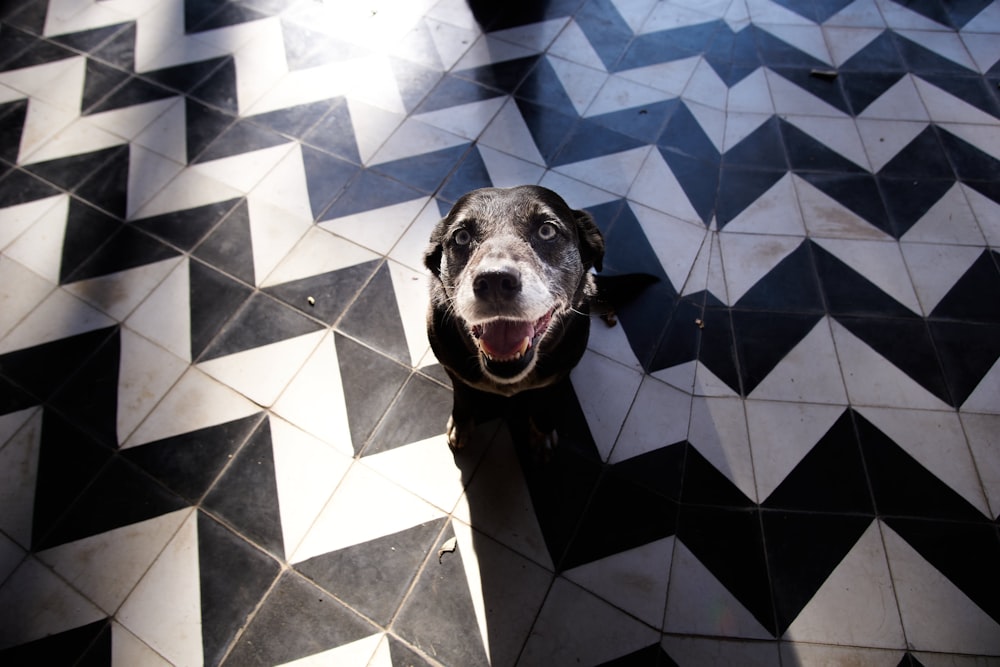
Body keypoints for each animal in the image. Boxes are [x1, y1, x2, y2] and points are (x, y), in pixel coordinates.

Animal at [422, 185, 616, 452]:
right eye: (461, 236)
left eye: (547, 231)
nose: (494, 280)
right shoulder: (453, 370)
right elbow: (462, 396)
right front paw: (461, 425)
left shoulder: (558, 376)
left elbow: (546, 402)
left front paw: (542, 431)